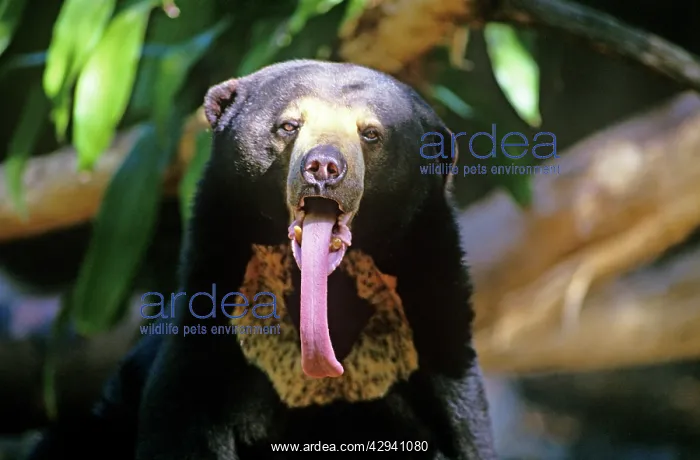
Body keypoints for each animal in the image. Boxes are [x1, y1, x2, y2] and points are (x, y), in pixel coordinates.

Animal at [28, 59, 497, 460]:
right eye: (289, 125)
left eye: (371, 134)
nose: (323, 166)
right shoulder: (215, 331)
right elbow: (185, 424)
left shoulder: (430, 343)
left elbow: (463, 431)